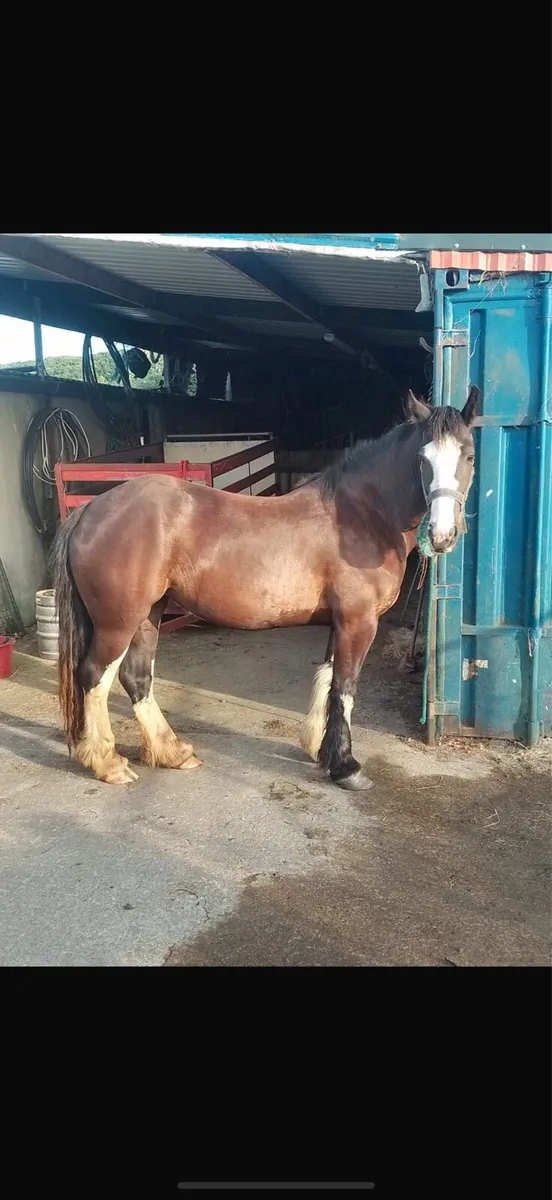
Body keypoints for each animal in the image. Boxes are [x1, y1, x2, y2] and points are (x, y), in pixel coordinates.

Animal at [50, 386, 479, 791]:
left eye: (469, 456)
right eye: (423, 460)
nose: (443, 536)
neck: (360, 516)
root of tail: (91, 510)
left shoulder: (339, 623)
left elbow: (327, 680)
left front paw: (320, 750)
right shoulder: (359, 622)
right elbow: (344, 688)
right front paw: (346, 767)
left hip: (148, 615)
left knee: (136, 678)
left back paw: (171, 752)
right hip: (117, 622)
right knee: (94, 677)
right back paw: (109, 764)